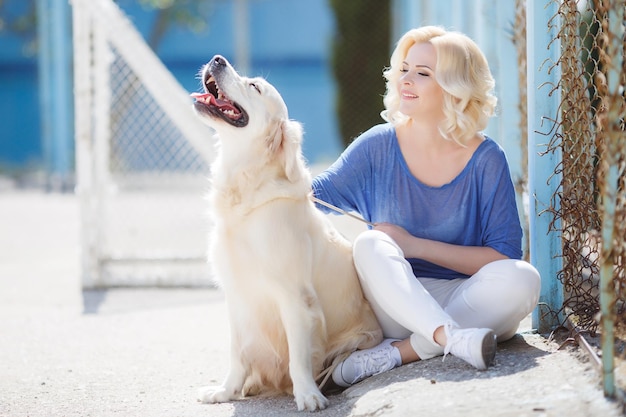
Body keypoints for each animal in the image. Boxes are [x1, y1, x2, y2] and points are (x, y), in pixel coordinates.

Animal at [191, 55, 380, 410]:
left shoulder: (294, 296)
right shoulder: (237, 296)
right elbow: (237, 354)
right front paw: (226, 390)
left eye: (254, 86)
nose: (217, 59)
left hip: (359, 339)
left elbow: (298, 356)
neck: (247, 188)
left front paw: (307, 394)